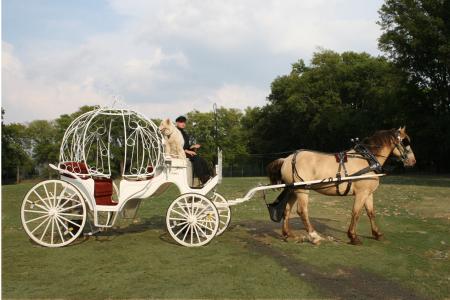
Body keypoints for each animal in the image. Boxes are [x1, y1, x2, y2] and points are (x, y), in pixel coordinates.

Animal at [266, 126, 416, 246]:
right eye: (405, 142)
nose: (413, 161)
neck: (368, 159)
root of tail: (287, 159)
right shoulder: (361, 193)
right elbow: (356, 213)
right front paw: (353, 237)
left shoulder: (368, 193)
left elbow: (371, 213)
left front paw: (377, 234)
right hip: (302, 189)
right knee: (302, 211)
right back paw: (314, 237)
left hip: (293, 189)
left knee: (286, 210)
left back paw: (287, 234)